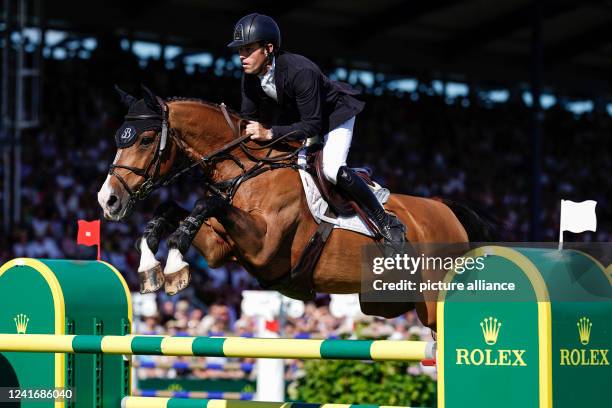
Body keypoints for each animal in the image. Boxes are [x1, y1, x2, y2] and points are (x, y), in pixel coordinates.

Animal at [97, 87, 498, 332]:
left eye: (146, 139)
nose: (107, 201)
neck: (245, 171)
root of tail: (447, 211)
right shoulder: (220, 248)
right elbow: (174, 210)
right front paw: (152, 265)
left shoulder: (264, 246)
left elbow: (205, 203)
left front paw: (173, 265)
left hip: (433, 299)